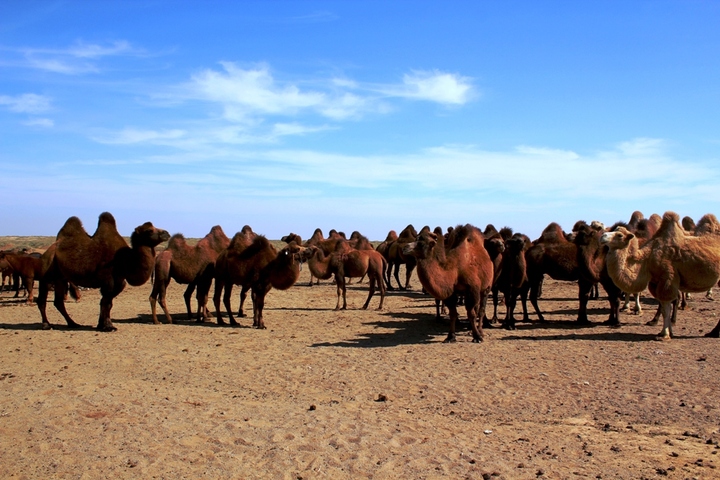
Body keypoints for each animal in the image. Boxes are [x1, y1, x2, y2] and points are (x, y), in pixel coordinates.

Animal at [36, 213, 169, 330]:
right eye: (149, 230)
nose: (166, 233)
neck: (125, 259)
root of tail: (48, 251)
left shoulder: (119, 282)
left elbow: (105, 302)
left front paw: (101, 325)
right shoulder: (108, 280)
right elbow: (107, 303)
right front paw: (108, 326)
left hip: (61, 279)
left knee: (58, 302)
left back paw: (73, 323)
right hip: (46, 275)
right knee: (42, 300)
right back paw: (46, 325)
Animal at [600, 212, 720, 340]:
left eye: (619, 235)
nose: (603, 236)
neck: (648, 257)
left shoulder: (667, 278)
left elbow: (666, 308)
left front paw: (664, 334)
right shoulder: (656, 281)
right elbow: (663, 308)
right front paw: (668, 332)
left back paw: (713, 332)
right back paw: (712, 332)